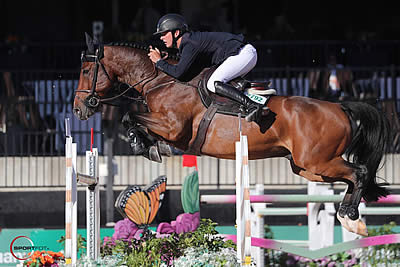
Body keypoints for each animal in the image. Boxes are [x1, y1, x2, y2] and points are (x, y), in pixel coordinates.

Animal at [72, 35, 390, 237]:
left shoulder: (174, 127)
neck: (161, 80)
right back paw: (350, 217)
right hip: (307, 167)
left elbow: (130, 116)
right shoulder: (171, 131)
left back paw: (350, 216)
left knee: (359, 172)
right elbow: (137, 122)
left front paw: (142, 143)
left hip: (318, 161)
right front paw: (151, 145)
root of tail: (340, 107)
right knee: (351, 177)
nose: (78, 109)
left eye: (87, 69)